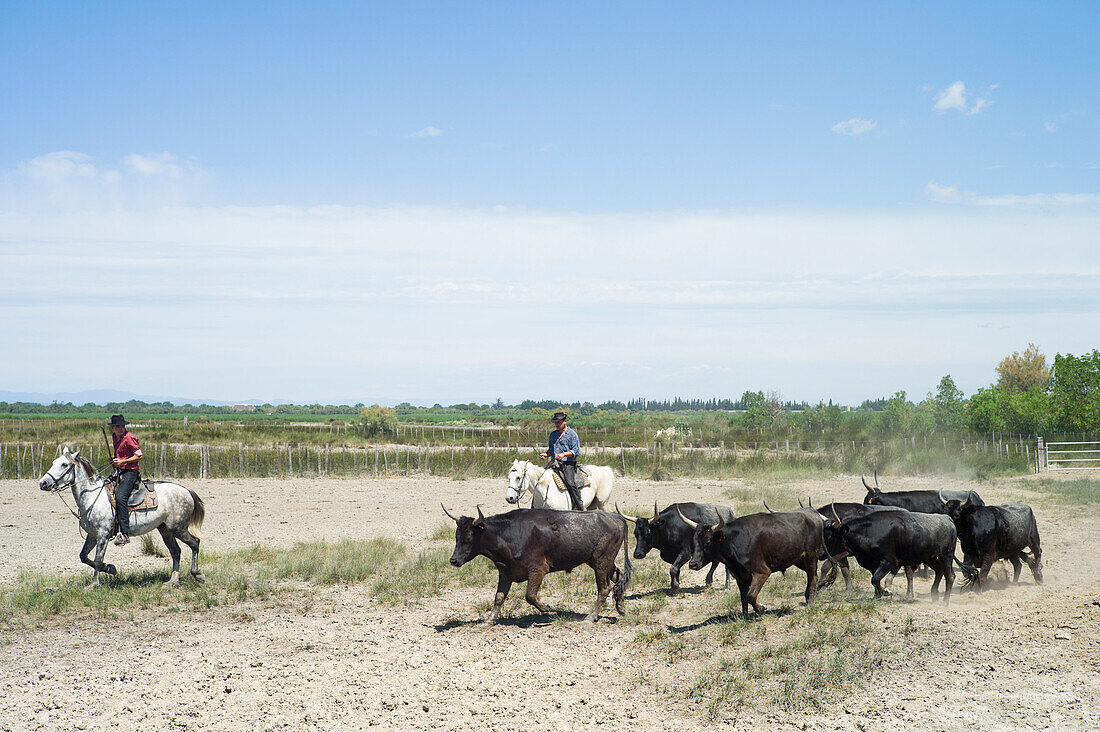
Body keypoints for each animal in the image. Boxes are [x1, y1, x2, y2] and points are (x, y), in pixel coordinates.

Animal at [38, 444, 206, 590]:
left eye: (64, 464)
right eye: (54, 462)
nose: (43, 483)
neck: (94, 495)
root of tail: (186, 490)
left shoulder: (103, 535)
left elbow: (97, 560)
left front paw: (94, 584)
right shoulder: (92, 535)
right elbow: (84, 556)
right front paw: (110, 568)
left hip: (178, 528)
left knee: (195, 543)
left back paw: (198, 574)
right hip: (165, 530)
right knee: (176, 552)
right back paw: (173, 581)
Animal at [442, 508, 633, 620]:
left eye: (468, 538)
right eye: (456, 536)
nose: (454, 560)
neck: (507, 534)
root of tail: (615, 516)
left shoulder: (538, 569)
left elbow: (530, 596)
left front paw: (547, 608)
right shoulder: (505, 571)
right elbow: (499, 597)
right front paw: (489, 620)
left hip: (602, 560)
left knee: (604, 588)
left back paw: (591, 617)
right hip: (597, 560)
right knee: (619, 577)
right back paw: (621, 607)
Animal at [677, 508, 827, 616]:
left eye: (708, 542)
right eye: (694, 541)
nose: (693, 564)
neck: (733, 542)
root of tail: (813, 514)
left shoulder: (762, 572)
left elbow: (751, 596)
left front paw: (761, 608)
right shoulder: (739, 576)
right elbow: (743, 598)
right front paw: (745, 615)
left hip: (811, 556)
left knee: (813, 577)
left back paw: (810, 603)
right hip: (799, 559)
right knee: (810, 576)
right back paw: (807, 598)